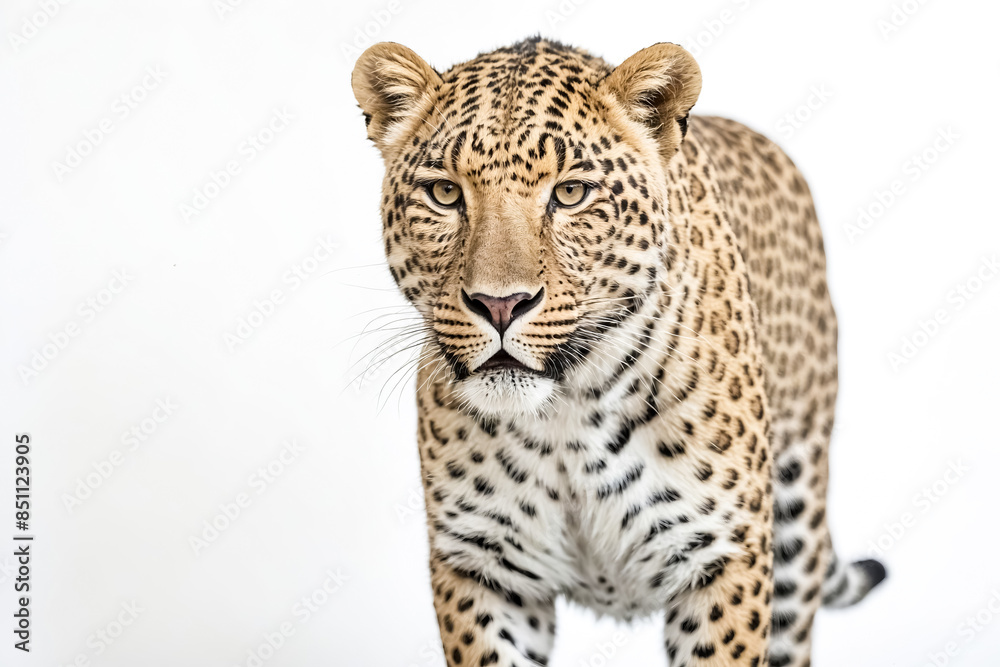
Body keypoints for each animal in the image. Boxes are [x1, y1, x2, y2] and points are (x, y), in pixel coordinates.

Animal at [351, 36, 886, 667]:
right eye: (444, 193)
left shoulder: (724, 557)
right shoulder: (482, 566)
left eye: (570, 193)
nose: (500, 305)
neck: (567, 414)